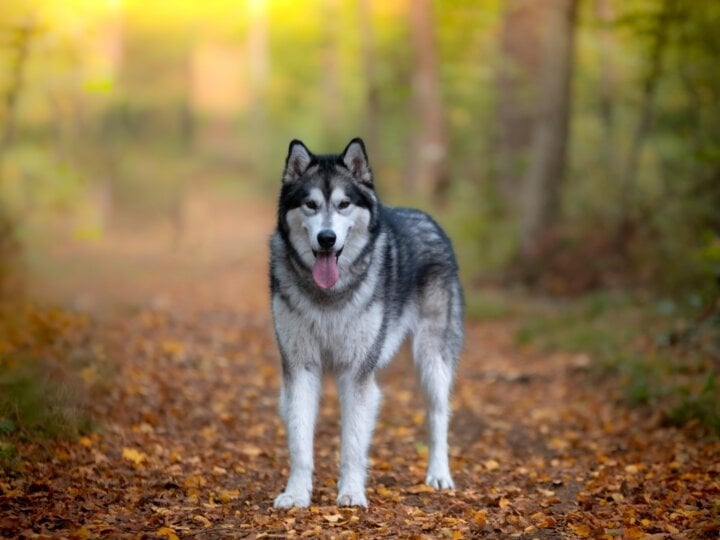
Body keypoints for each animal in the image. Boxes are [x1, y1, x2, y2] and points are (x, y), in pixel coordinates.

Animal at [268, 137, 464, 508]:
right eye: (311, 205)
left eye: (344, 204)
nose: (327, 238)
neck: (328, 295)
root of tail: (427, 217)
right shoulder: (300, 366)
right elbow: (300, 442)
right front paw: (296, 494)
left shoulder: (356, 372)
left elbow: (352, 445)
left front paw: (351, 492)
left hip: (432, 360)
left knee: (438, 416)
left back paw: (439, 474)